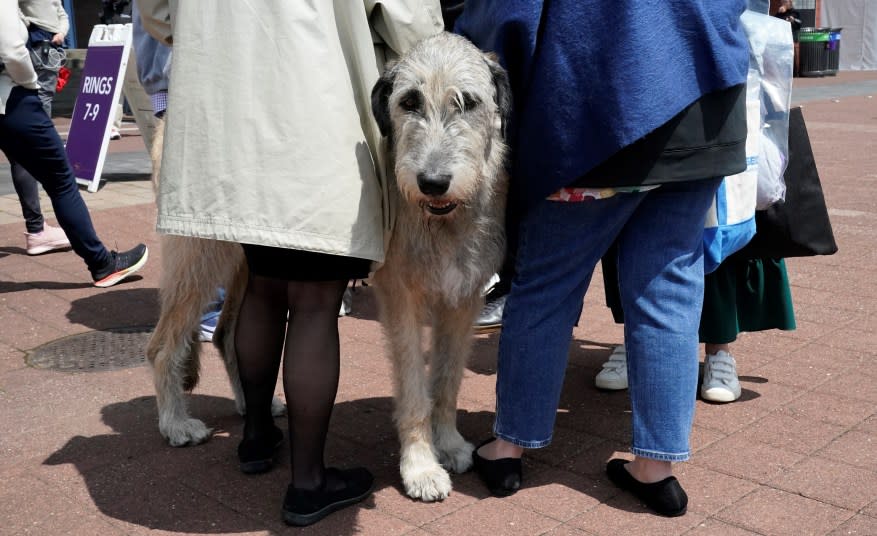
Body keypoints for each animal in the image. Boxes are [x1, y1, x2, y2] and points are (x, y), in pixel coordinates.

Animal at [372, 32, 510, 502]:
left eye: (468, 102)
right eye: (409, 101)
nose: (432, 183)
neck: (442, 223)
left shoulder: (463, 299)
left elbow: (447, 379)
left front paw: (447, 443)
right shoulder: (400, 297)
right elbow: (415, 388)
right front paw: (421, 467)